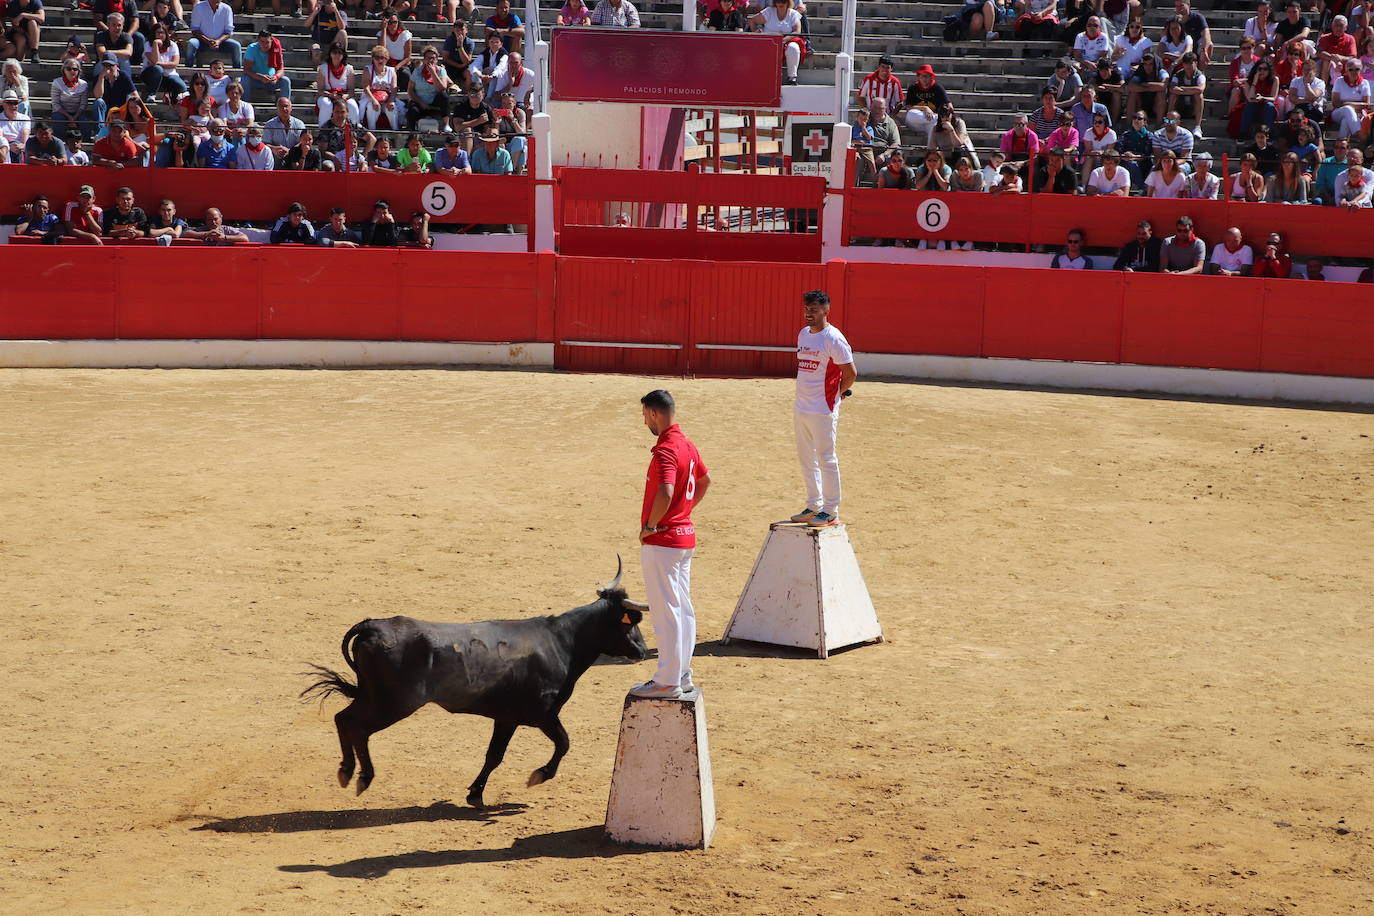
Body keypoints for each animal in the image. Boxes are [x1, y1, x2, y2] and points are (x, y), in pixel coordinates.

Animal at [300, 560, 648, 807]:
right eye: (629, 623)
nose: (642, 650)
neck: (561, 642)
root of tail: (372, 625)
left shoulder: (506, 718)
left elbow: (494, 755)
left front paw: (475, 794)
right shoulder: (543, 714)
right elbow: (563, 743)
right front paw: (538, 776)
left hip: (375, 697)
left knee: (343, 719)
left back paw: (347, 771)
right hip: (392, 703)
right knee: (356, 726)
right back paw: (362, 776)